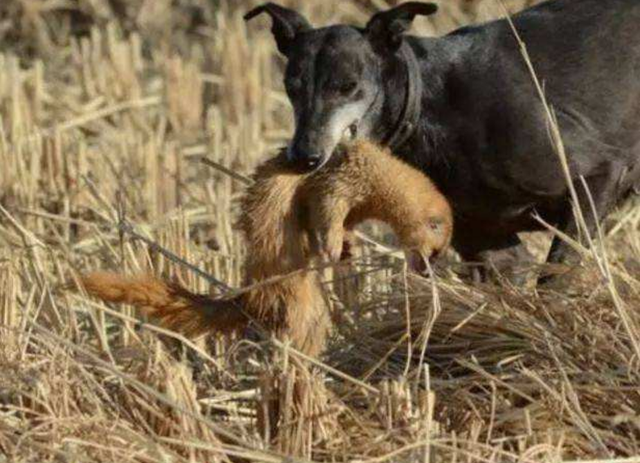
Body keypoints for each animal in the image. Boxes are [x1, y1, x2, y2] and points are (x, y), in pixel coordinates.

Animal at [245, 0, 640, 284]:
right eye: (291, 87)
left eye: (347, 85)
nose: (303, 157)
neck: (431, 105)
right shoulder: (489, 245)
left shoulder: (597, 179)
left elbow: (554, 277)